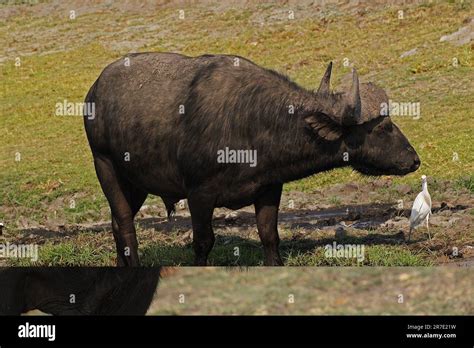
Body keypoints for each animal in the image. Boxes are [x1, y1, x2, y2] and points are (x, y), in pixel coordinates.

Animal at [83, 53, 420, 266]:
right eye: (383, 127)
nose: (414, 160)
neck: (252, 122)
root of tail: (94, 91)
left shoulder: (269, 188)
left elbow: (269, 236)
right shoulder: (199, 194)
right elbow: (203, 242)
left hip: (135, 183)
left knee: (116, 223)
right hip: (105, 166)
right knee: (126, 225)